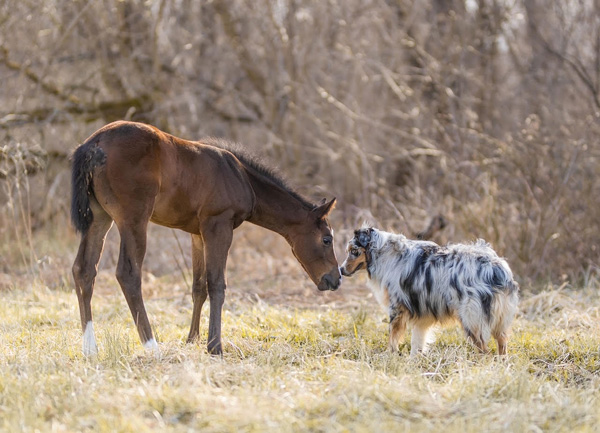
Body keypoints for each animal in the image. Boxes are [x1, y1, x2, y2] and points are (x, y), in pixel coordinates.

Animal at [70, 120, 340, 354]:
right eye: (327, 239)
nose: (335, 279)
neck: (241, 177)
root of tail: (93, 144)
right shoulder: (219, 225)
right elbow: (217, 284)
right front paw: (214, 346)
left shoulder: (197, 233)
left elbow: (198, 286)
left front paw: (192, 339)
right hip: (133, 219)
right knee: (128, 273)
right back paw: (152, 347)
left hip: (99, 217)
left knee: (84, 270)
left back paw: (90, 349)